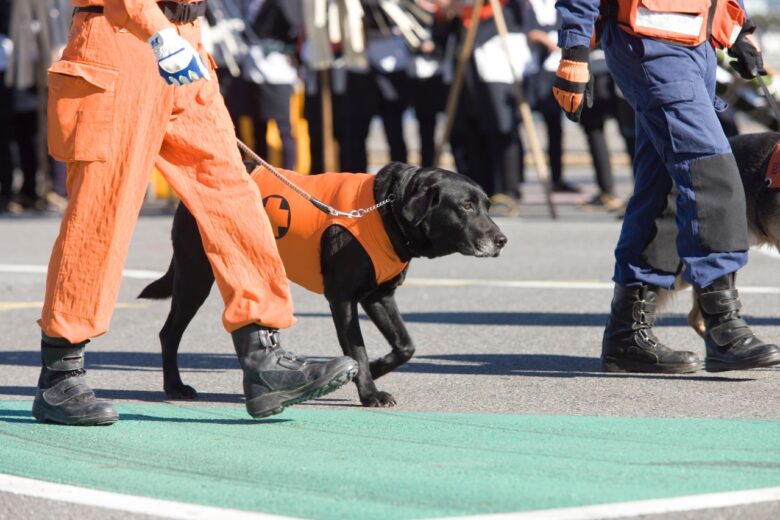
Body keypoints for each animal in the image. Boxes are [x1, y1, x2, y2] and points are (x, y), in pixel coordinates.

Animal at [139, 162, 506, 406]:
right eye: (466, 206)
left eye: (487, 205)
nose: (502, 240)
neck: (386, 210)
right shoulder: (342, 299)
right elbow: (356, 348)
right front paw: (369, 392)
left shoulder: (378, 296)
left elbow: (406, 345)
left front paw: (375, 368)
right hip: (196, 275)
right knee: (169, 333)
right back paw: (175, 386)